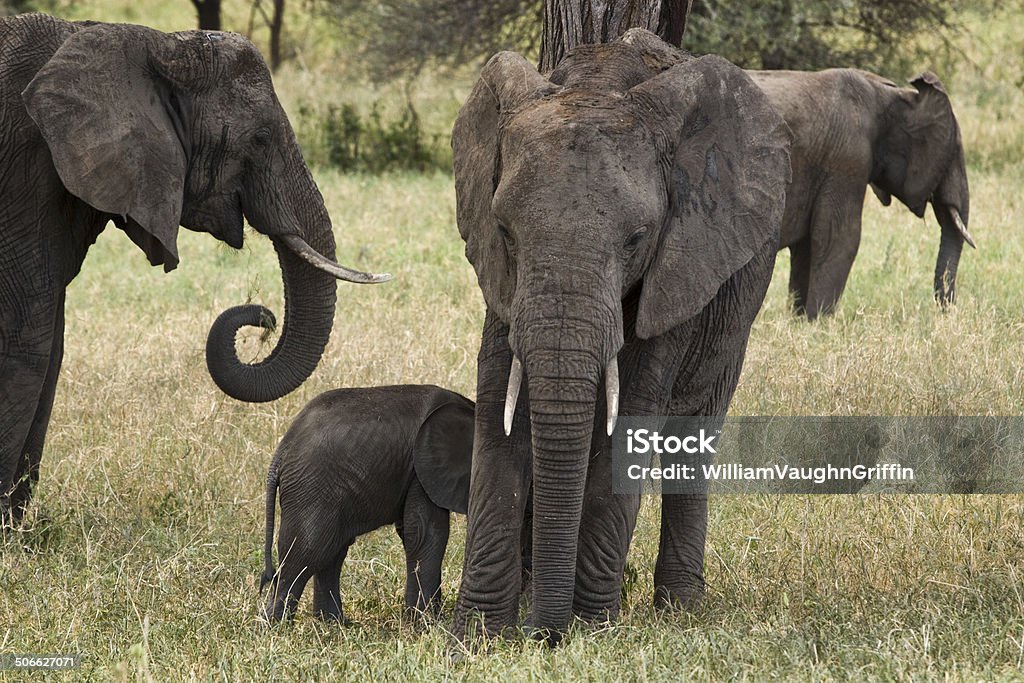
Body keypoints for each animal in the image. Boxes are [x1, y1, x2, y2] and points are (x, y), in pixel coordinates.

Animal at [0, 12, 389, 524]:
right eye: (260, 139)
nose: (263, 317)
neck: (146, 43)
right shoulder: (23, 177)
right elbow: (27, 340)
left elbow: (52, 344)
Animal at [262, 385, 473, 626]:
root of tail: (282, 450)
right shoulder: (420, 471)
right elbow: (426, 533)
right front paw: (427, 625)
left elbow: (413, 532)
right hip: (311, 487)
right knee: (307, 551)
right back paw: (275, 626)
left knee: (332, 551)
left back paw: (334, 625)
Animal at [450, 28, 790, 647]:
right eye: (506, 232)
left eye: (637, 238)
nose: (544, 637)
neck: (598, 83)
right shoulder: (501, 282)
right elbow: (497, 406)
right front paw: (477, 637)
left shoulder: (676, 265)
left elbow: (630, 413)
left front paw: (592, 630)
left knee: (695, 433)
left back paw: (681, 608)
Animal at [745, 68, 974, 319]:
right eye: (953, 152)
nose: (947, 313)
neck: (893, 96)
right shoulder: (849, 159)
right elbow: (841, 238)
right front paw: (818, 322)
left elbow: (807, 245)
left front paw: (800, 319)